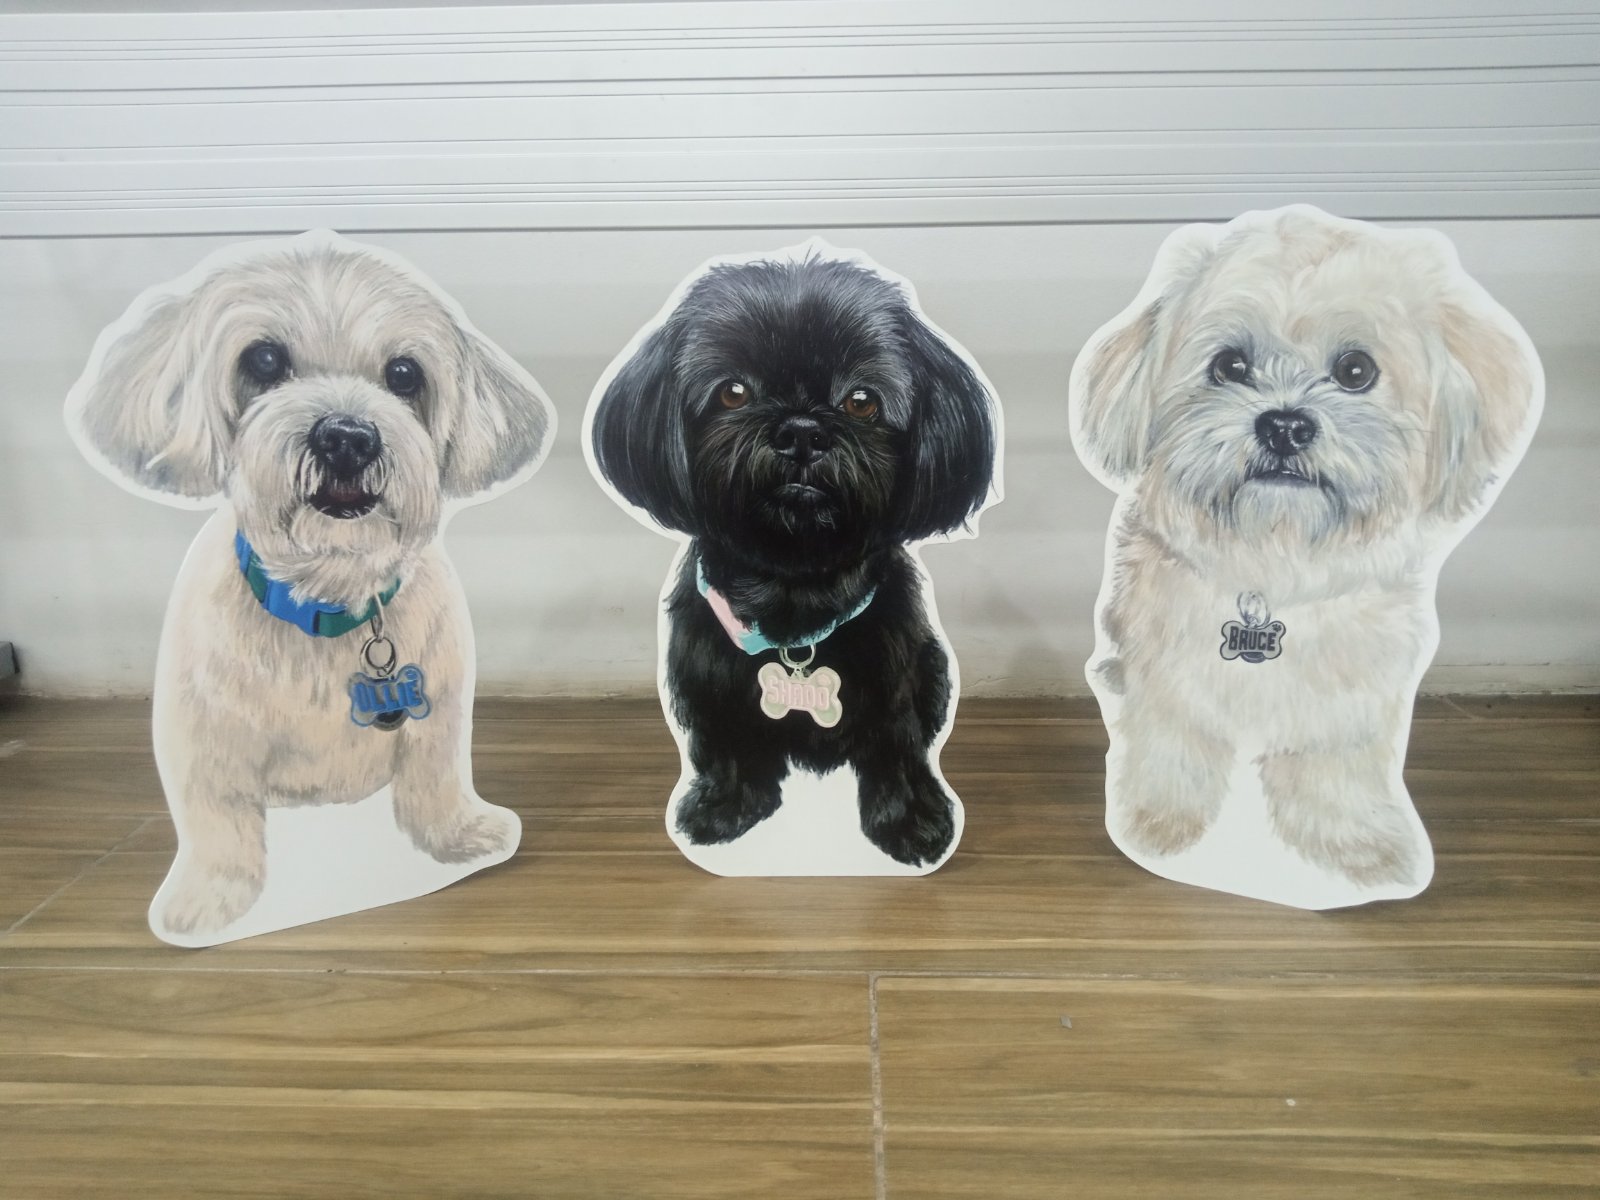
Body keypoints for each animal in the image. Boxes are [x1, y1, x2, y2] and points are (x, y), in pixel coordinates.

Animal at [66, 233, 555, 937]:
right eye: (264, 359)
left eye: (404, 374)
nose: (347, 437)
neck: (332, 597)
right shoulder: (205, 740)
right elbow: (216, 823)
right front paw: (206, 901)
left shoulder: (439, 716)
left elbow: (436, 779)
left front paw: (459, 836)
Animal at [588, 251, 998, 868]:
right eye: (733, 392)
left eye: (861, 400)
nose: (802, 430)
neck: (794, 593)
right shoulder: (707, 680)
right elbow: (727, 742)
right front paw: (725, 807)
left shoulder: (895, 681)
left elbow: (898, 750)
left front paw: (911, 822)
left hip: (932, 664)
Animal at [1070, 206, 1541, 898]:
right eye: (1230, 366)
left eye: (1356, 371)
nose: (1285, 424)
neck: (1277, 560)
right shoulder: (1169, 683)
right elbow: (1172, 749)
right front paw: (1158, 826)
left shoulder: (1344, 711)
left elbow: (1337, 775)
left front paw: (1358, 849)